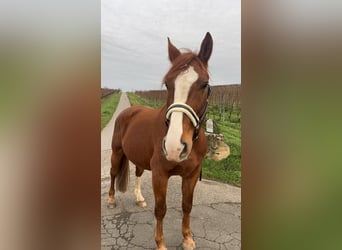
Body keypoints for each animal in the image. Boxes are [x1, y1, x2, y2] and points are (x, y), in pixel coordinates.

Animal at [108, 33, 212, 250]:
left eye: (204, 84)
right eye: (167, 84)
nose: (175, 148)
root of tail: (128, 111)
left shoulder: (191, 175)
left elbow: (187, 206)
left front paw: (187, 238)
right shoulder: (160, 174)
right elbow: (161, 209)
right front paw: (160, 243)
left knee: (138, 173)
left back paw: (139, 199)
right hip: (117, 152)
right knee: (113, 173)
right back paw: (111, 199)